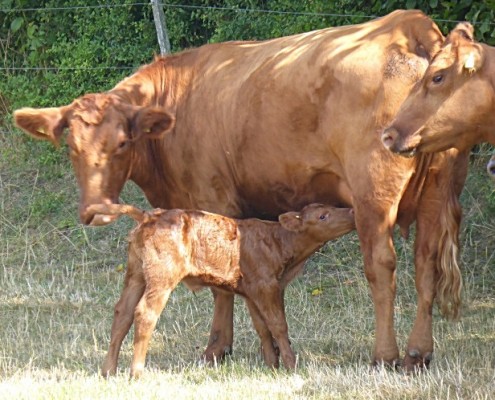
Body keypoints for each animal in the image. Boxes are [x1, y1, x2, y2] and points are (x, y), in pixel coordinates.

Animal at [87, 203, 354, 378]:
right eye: (323, 216)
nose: (351, 210)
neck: (279, 242)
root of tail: (148, 215)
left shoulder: (251, 291)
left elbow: (262, 327)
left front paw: (272, 366)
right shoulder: (267, 284)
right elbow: (278, 325)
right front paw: (291, 365)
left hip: (136, 274)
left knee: (122, 313)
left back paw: (108, 371)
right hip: (162, 276)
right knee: (144, 314)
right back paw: (136, 373)